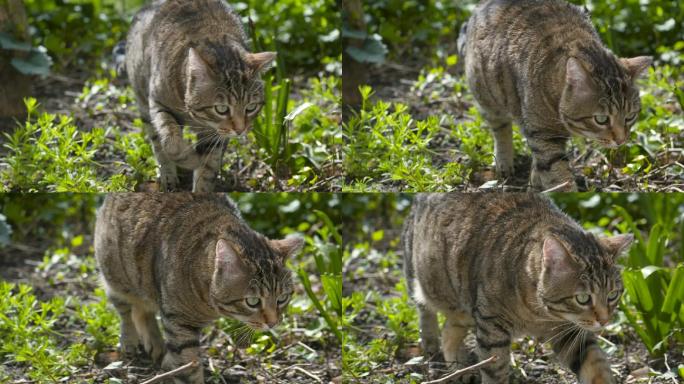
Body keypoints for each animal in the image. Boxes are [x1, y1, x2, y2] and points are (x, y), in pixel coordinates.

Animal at [93, 195, 302, 384]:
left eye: (282, 298)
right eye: (253, 301)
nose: (273, 323)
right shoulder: (179, 322)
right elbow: (188, 364)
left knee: (142, 309)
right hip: (116, 274)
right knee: (125, 309)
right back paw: (130, 339)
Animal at [123, 0, 276, 192]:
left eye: (251, 107)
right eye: (222, 109)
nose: (240, 130)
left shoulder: (215, 134)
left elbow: (209, 166)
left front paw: (201, 190)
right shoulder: (158, 103)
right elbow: (171, 142)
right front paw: (190, 159)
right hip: (143, 101)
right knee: (157, 142)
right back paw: (167, 174)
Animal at [404, 195, 632, 384]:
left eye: (613, 295)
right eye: (583, 298)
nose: (604, 320)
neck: (540, 313)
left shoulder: (568, 331)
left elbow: (595, 365)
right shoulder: (492, 327)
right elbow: (495, 371)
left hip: (466, 304)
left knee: (450, 329)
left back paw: (459, 366)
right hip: (424, 282)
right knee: (427, 313)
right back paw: (433, 349)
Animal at [460, 0, 652, 191]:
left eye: (630, 117)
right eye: (601, 119)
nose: (621, 140)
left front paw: (536, 183)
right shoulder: (545, 135)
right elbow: (557, 174)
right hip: (487, 96)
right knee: (500, 127)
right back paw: (504, 161)